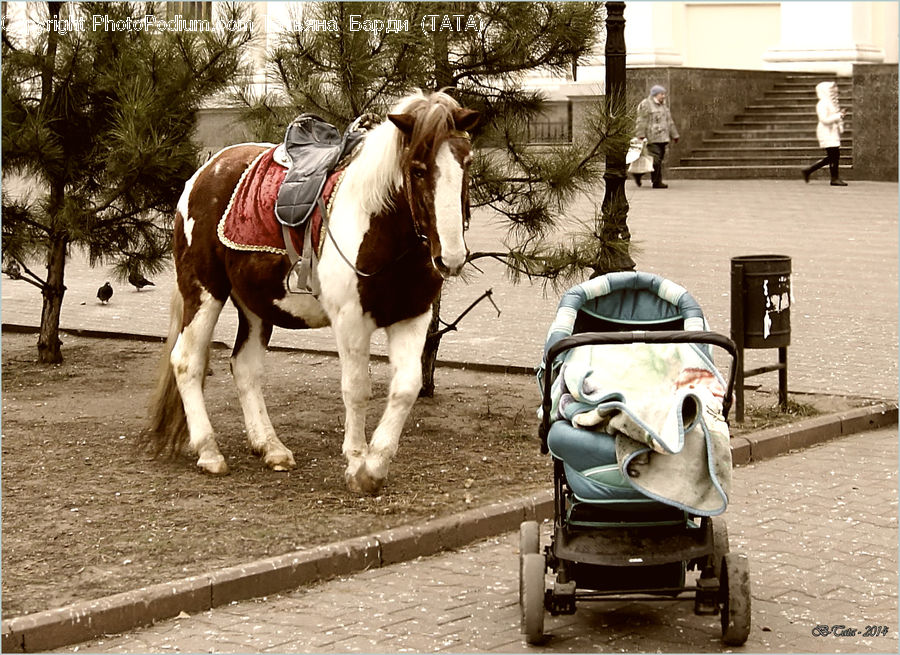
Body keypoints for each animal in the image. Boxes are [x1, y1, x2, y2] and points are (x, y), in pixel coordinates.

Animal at [146, 90, 479, 495]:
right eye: (417, 168)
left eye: (467, 162)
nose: (451, 258)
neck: (380, 225)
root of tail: (204, 172)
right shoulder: (351, 320)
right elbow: (357, 387)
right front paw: (356, 463)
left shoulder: (412, 317)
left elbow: (406, 388)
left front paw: (375, 468)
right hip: (204, 291)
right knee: (187, 361)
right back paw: (209, 452)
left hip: (255, 306)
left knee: (245, 367)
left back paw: (271, 447)